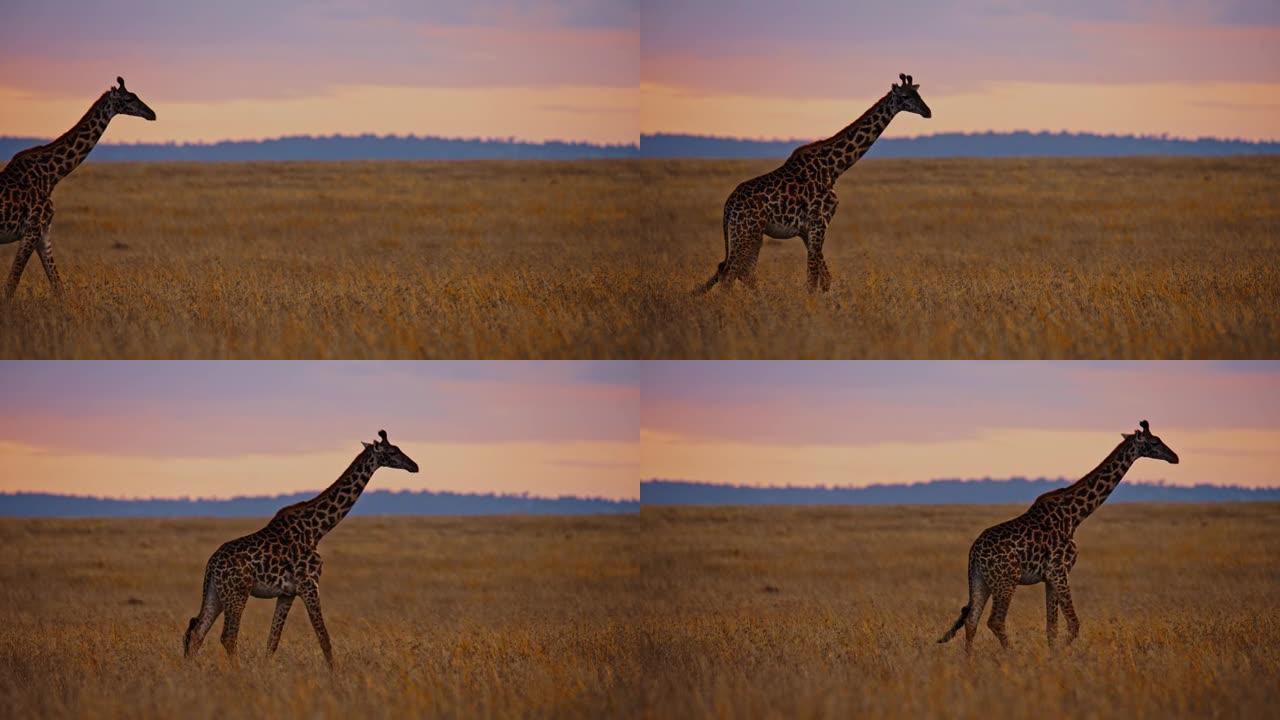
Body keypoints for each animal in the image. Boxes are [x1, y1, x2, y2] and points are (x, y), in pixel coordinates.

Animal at [1, 77, 156, 299]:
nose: (152, 113)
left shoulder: (43, 233)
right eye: (129, 99)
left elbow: (58, 285)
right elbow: (11, 284)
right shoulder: (31, 230)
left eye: (136, 95)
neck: (51, 176)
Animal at [184, 427, 419, 666]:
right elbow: (324, 637)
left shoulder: (287, 593)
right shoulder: (309, 585)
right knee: (227, 636)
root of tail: (212, 565)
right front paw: (335, 672)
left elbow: (273, 641)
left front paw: (268, 669)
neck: (316, 530)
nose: (415, 466)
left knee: (197, 630)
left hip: (216, 592)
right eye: (392, 451)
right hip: (237, 593)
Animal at [701, 73, 931, 292]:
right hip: (746, 232)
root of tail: (728, 206)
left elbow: (825, 278)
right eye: (905, 96)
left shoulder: (807, 230)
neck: (833, 168)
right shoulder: (819, 223)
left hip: (748, 234)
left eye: (918, 94)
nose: (927, 112)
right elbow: (812, 280)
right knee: (731, 274)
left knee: (740, 271)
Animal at [942, 420, 1177, 650]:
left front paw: (1053, 653)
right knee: (995, 621)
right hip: (1006, 580)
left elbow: (1052, 626)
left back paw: (969, 658)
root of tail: (974, 553)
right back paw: (1011, 654)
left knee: (972, 620)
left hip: (980, 580)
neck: (1074, 516)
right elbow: (1073, 624)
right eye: (1154, 442)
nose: (1175, 457)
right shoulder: (1059, 571)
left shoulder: (1049, 577)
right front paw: (1061, 653)